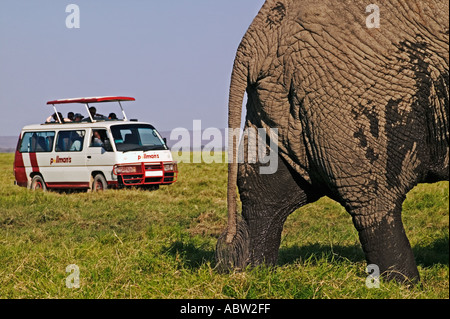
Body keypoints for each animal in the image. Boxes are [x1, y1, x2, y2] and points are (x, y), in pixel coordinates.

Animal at [216, 0, 448, 284]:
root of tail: (256, 39)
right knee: (374, 193)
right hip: (359, 88)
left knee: (266, 185)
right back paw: (403, 286)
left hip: (279, 96)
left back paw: (255, 273)